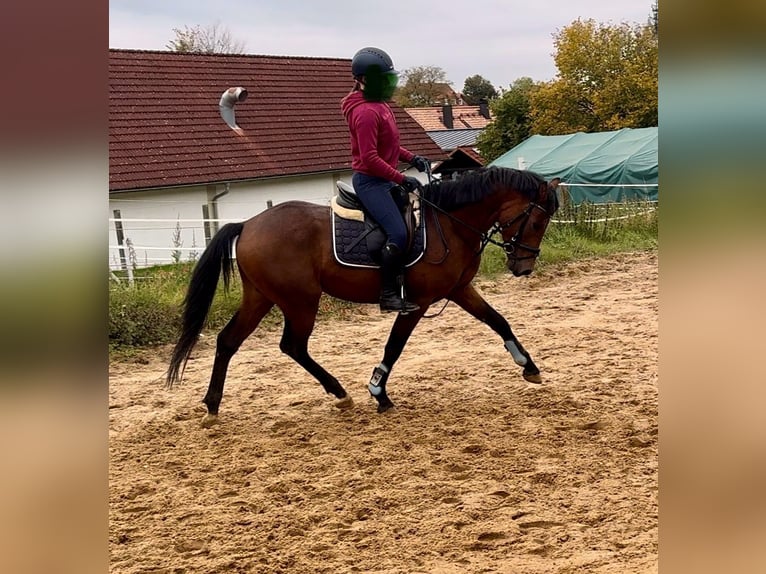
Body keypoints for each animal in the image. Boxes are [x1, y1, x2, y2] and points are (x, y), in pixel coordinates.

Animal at [168, 166, 560, 428]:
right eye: (537, 222)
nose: (524, 267)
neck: (448, 223)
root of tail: (248, 224)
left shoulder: (459, 289)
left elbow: (497, 320)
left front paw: (529, 366)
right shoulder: (417, 302)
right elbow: (394, 347)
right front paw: (378, 391)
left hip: (261, 297)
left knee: (228, 341)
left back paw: (213, 405)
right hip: (300, 300)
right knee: (292, 345)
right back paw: (339, 392)